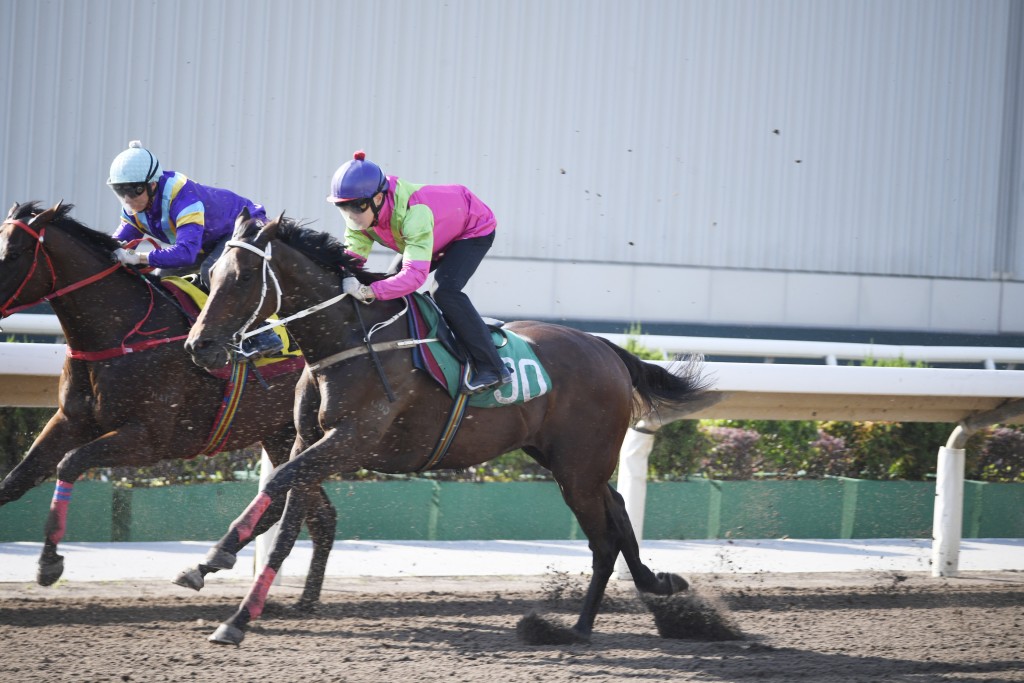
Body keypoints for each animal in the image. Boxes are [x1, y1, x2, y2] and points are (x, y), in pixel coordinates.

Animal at [0, 200, 335, 606]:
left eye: (12, 254)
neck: (122, 332)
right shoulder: (70, 420)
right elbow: (16, 480)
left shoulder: (149, 440)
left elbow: (70, 463)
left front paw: (49, 563)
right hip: (283, 434)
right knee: (316, 515)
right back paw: (300, 597)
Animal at [186, 209, 712, 647]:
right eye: (210, 276)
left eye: (243, 277)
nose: (199, 346)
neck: (348, 340)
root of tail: (609, 350)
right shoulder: (308, 440)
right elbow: (285, 509)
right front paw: (215, 572)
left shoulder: (350, 441)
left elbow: (280, 488)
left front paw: (230, 597)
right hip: (570, 462)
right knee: (619, 511)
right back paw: (652, 589)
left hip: (578, 471)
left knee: (604, 541)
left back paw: (578, 629)